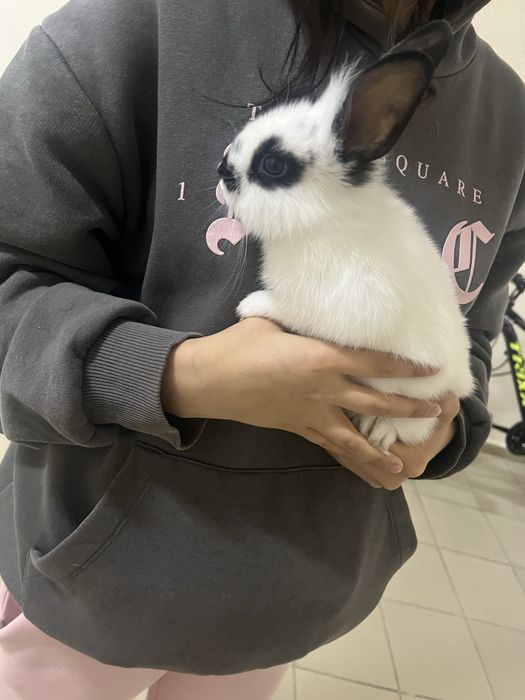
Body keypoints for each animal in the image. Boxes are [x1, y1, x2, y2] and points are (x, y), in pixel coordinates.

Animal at [217, 20, 474, 453]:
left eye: (273, 165)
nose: (221, 171)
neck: (324, 216)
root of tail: (463, 379)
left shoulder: (335, 305)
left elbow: (292, 310)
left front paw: (251, 305)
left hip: (422, 391)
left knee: (418, 423)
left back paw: (378, 429)